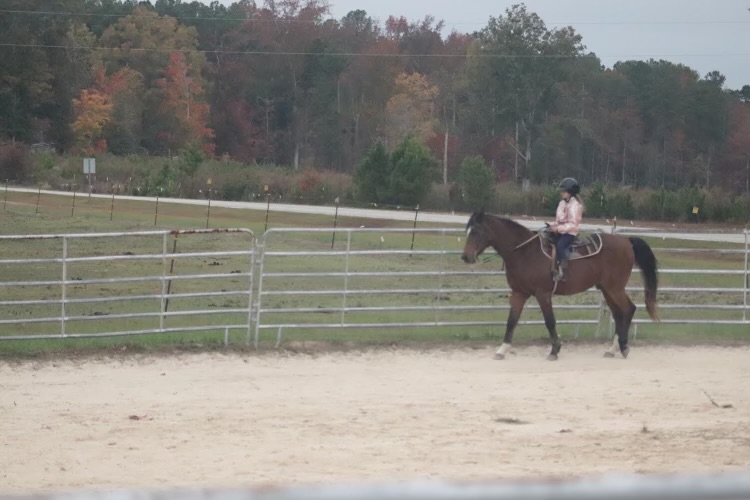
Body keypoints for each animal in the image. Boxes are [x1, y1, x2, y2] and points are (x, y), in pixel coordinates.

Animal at [460, 208, 659, 360]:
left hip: (614, 288)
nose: (466, 257)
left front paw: (554, 350)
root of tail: (626, 241)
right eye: (467, 231)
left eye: (476, 231)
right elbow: (511, 321)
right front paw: (502, 350)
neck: (525, 252)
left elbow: (550, 322)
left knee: (629, 309)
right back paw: (612, 349)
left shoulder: (543, 294)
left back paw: (624, 347)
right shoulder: (518, 293)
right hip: (607, 289)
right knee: (619, 314)